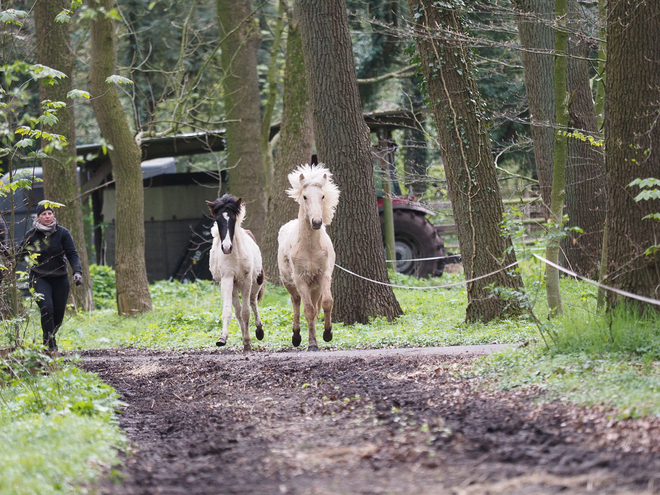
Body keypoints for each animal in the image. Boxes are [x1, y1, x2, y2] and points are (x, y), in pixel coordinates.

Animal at [209, 195, 266, 352]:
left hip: (256, 283)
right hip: (234, 287)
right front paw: (222, 339)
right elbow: (230, 311)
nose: (226, 247)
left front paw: (248, 341)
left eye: (233, 219)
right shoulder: (227, 280)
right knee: (237, 310)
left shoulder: (246, 281)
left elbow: (246, 312)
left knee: (252, 303)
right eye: (217, 220)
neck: (235, 255)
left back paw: (259, 331)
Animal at [278, 165, 340, 350]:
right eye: (305, 196)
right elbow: (309, 310)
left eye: (323, 196)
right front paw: (312, 343)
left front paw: (327, 334)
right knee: (296, 302)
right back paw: (296, 336)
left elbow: (327, 302)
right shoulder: (301, 280)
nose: (317, 222)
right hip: (290, 284)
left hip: (315, 286)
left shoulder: (324, 275)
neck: (311, 248)